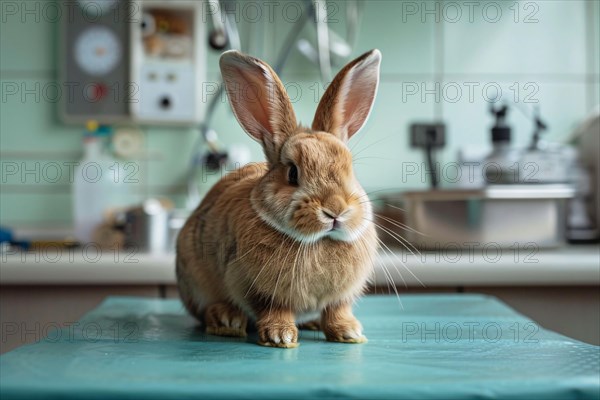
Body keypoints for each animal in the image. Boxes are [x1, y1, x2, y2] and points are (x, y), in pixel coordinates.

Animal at [176, 48, 382, 346]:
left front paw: (349, 332)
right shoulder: (256, 288)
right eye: (293, 173)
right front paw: (280, 336)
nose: (335, 209)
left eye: (350, 169)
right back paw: (226, 320)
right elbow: (274, 308)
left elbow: (337, 310)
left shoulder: (341, 297)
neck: (317, 242)